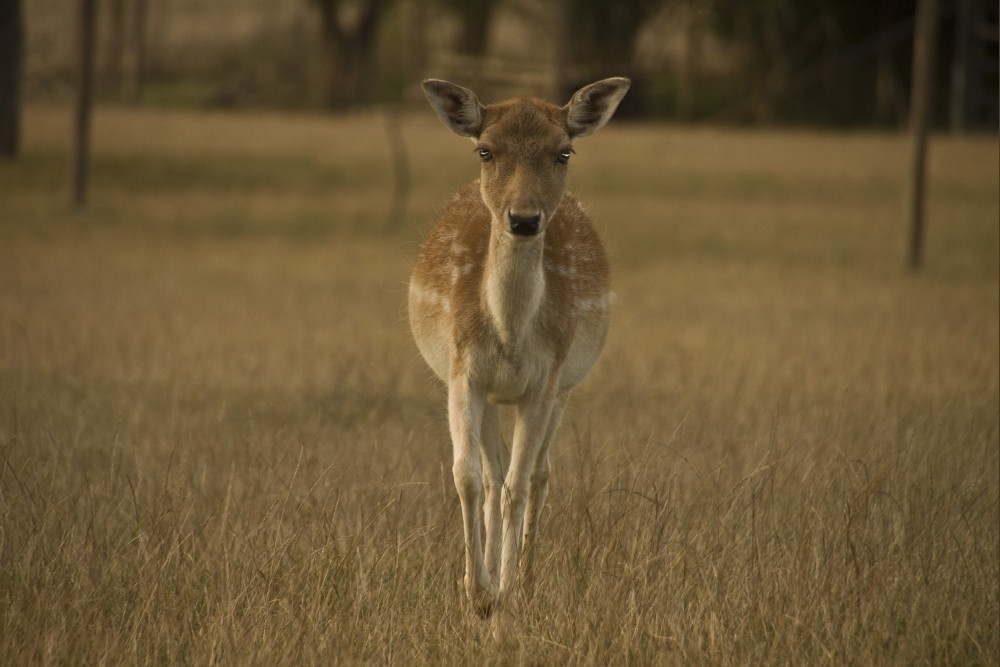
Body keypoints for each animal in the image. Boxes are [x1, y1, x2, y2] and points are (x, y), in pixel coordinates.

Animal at [404, 77, 624, 616]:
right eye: (485, 149)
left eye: (564, 151)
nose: (524, 219)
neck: (508, 335)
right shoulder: (462, 373)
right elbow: (468, 477)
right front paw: (476, 592)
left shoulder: (545, 380)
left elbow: (518, 485)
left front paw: (504, 595)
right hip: (488, 396)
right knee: (491, 470)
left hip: (564, 390)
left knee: (539, 475)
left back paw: (524, 579)